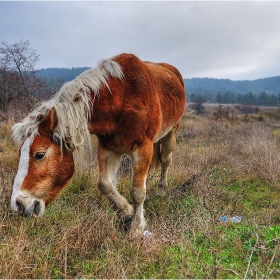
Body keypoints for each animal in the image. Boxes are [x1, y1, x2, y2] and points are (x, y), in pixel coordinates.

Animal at [10, 52, 186, 236]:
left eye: (39, 154)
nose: (18, 204)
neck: (123, 98)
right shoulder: (108, 149)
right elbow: (105, 185)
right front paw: (127, 212)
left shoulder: (143, 148)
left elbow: (138, 192)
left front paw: (136, 228)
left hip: (172, 131)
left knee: (166, 161)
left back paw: (161, 190)